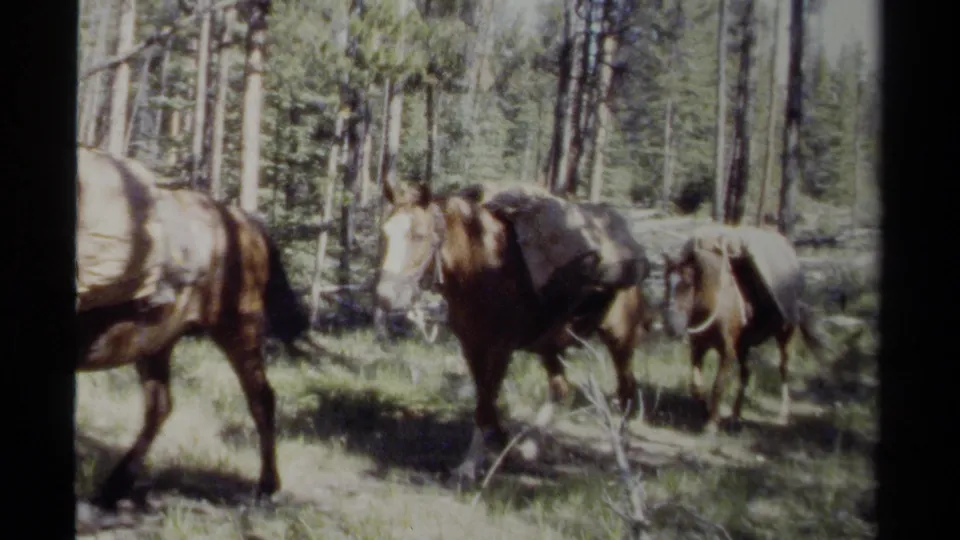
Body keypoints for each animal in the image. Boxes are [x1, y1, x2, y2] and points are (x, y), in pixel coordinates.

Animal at [76, 182, 310, 511]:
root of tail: (245, 220)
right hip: (157, 343)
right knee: (159, 405)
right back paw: (115, 486)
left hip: (238, 330)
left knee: (261, 398)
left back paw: (267, 486)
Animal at [374, 181, 654, 481]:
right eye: (385, 233)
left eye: (419, 235)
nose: (385, 296)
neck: (480, 268)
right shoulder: (472, 347)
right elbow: (484, 401)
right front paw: (481, 455)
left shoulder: (500, 349)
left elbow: (486, 403)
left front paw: (478, 460)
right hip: (549, 346)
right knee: (561, 389)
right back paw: (531, 446)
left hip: (620, 339)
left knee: (626, 392)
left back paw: (618, 456)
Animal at [660, 228, 828, 434]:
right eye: (666, 282)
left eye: (689, 284)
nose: (671, 325)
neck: (715, 303)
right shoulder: (699, 349)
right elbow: (696, 385)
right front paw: (706, 411)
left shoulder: (727, 352)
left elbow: (718, 385)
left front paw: (712, 423)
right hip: (743, 348)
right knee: (745, 375)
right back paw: (735, 416)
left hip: (784, 338)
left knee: (783, 370)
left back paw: (782, 414)